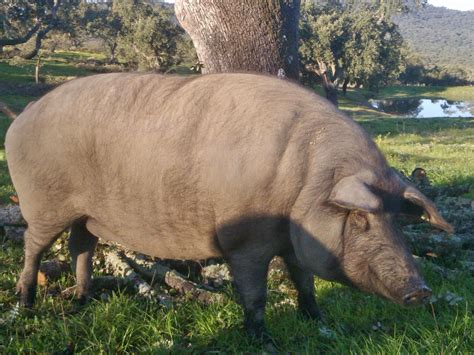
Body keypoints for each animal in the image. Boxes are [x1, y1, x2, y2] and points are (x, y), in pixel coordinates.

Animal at [6, 73, 452, 342]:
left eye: (396, 219)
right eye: (360, 217)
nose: (421, 290)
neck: (303, 188)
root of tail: (20, 117)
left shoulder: (293, 243)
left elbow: (304, 282)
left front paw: (319, 321)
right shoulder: (245, 241)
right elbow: (255, 293)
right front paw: (263, 340)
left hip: (85, 215)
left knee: (81, 245)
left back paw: (83, 300)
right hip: (42, 204)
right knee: (34, 246)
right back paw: (26, 304)